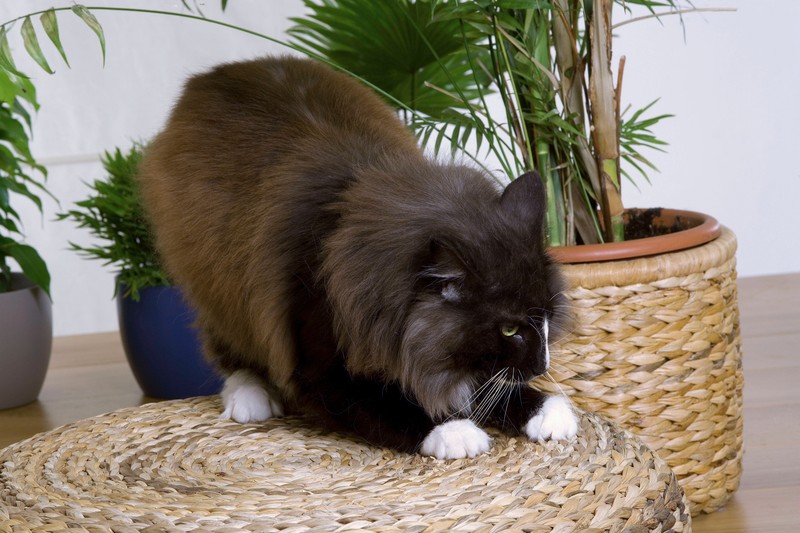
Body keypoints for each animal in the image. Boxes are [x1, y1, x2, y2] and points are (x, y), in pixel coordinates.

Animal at [138, 56, 576, 460]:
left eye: (547, 317)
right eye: (509, 329)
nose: (541, 366)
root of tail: (215, 74)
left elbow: (487, 386)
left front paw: (547, 411)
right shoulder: (321, 369)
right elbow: (394, 406)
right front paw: (455, 431)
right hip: (218, 284)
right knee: (227, 349)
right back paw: (250, 398)